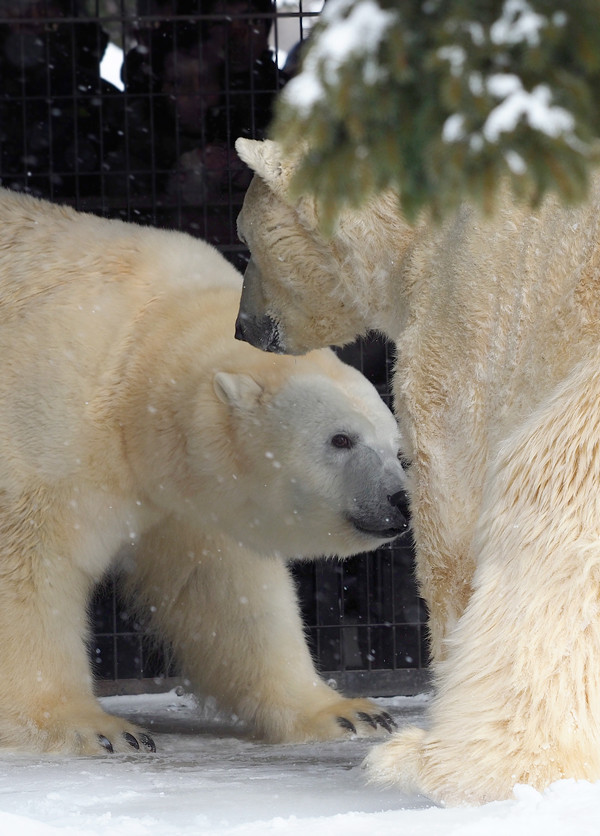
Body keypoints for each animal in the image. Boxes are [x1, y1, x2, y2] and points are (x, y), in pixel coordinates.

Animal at [0, 186, 408, 756]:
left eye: (397, 448)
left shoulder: (181, 491)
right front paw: (97, 728)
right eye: (341, 439)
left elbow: (224, 590)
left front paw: (349, 713)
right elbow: (29, 565)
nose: (398, 500)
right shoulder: (49, 413)